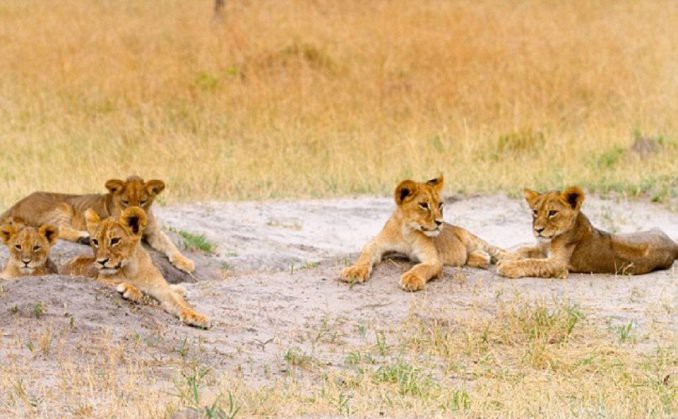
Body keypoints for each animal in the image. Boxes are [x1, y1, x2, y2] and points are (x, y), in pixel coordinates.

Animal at [0, 175, 195, 274]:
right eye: (125, 202)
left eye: (142, 201)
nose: (136, 216)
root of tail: (13, 206)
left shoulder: (154, 232)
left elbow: (169, 244)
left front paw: (184, 262)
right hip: (63, 206)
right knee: (57, 229)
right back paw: (85, 237)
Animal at [60, 206, 210, 329]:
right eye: (95, 242)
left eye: (115, 240)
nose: (101, 262)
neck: (132, 270)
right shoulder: (100, 279)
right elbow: (118, 282)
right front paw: (132, 290)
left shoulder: (162, 291)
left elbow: (179, 302)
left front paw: (197, 317)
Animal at [340, 176, 510, 291]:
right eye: (423, 205)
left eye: (440, 205)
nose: (440, 222)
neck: (407, 231)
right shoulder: (376, 244)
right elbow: (365, 257)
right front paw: (354, 271)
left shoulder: (433, 259)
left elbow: (421, 267)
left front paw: (412, 278)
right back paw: (481, 258)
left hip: (471, 238)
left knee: (498, 250)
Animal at [497, 186, 678, 278]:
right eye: (535, 212)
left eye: (552, 213)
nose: (538, 230)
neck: (550, 239)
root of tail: (672, 243)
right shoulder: (541, 248)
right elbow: (523, 249)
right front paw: (505, 257)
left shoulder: (559, 265)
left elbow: (531, 262)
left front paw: (506, 266)